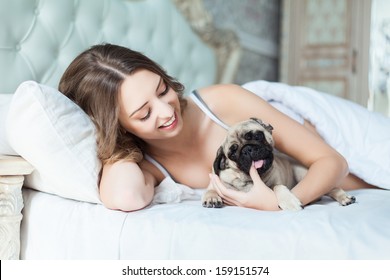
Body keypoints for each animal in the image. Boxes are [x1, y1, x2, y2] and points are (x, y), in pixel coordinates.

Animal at [203, 117, 358, 210]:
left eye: (257, 135)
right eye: (233, 154)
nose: (247, 149)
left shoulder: (276, 184)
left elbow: (278, 187)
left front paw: (289, 201)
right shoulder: (217, 183)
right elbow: (211, 189)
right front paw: (211, 197)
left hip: (302, 174)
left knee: (332, 188)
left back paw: (344, 198)